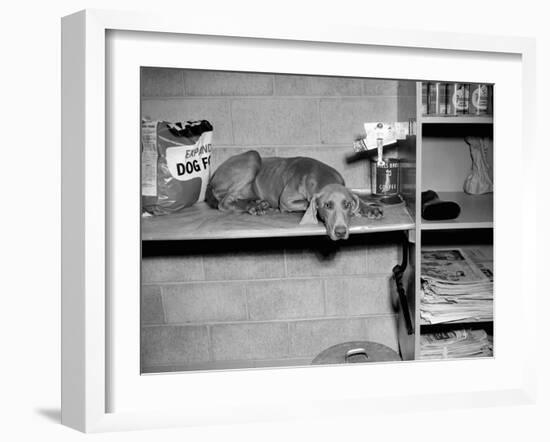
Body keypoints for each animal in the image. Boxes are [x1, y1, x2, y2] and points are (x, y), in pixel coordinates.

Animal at [206, 152, 384, 242]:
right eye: (327, 205)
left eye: (347, 205)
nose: (340, 232)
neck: (321, 176)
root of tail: (212, 178)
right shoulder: (286, 201)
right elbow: (306, 203)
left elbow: (357, 197)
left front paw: (369, 208)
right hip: (252, 157)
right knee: (224, 202)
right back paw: (253, 206)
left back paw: (258, 203)